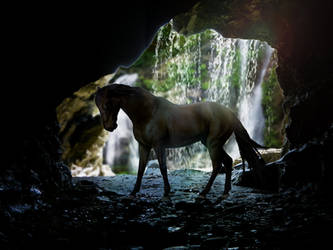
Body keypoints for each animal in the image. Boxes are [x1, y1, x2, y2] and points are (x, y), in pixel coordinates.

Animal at [94, 84, 266, 199]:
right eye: (99, 106)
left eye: (106, 104)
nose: (109, 127)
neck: (148, 113)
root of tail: (229, 112)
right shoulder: (144, 146)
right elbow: (141, 169)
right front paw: (134, 191)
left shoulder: (158, 146)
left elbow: (163, 168)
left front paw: (166, 190)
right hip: (211, 143)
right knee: (228, 161)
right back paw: (225, 190)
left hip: (213, 144)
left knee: (217, 165)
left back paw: (204, 192)